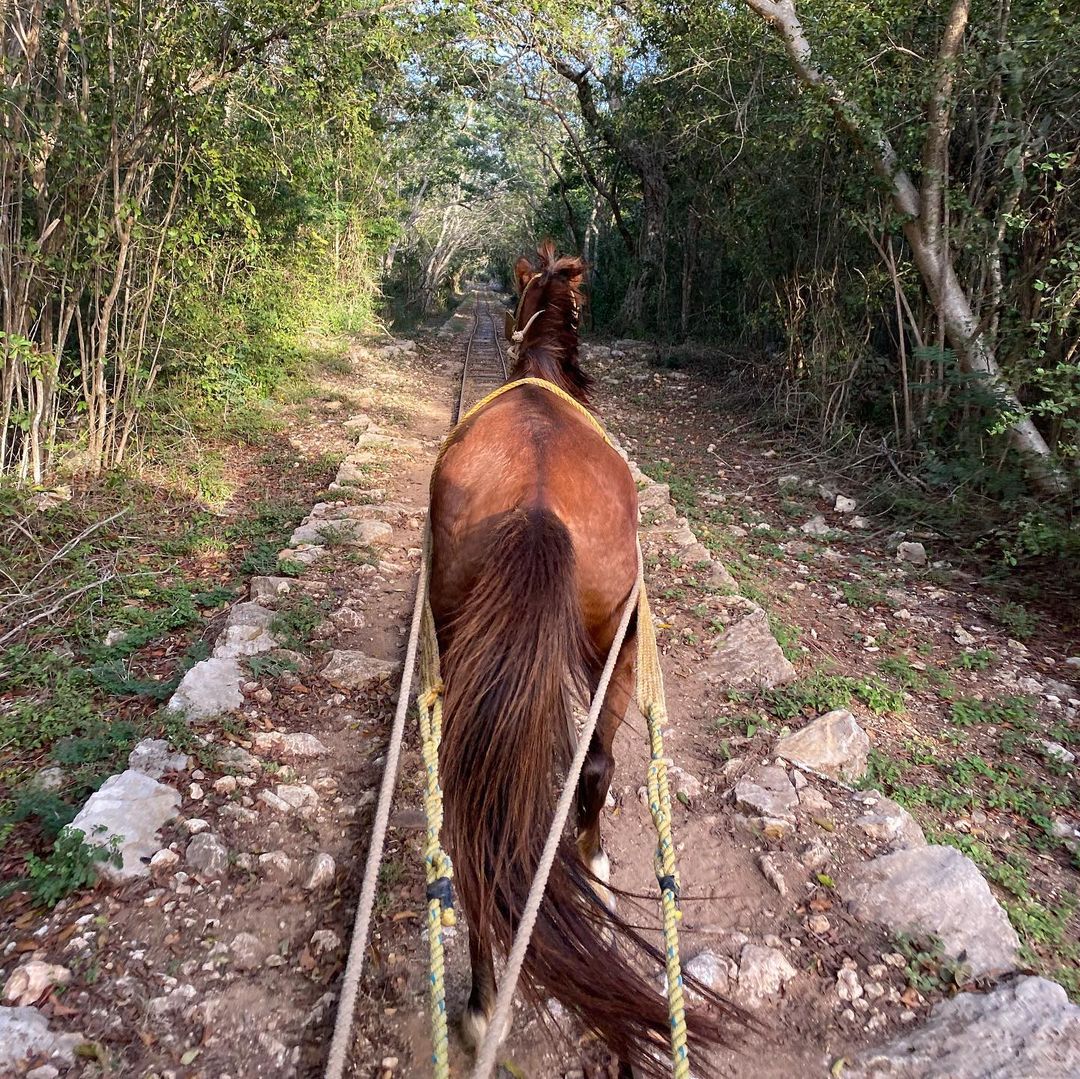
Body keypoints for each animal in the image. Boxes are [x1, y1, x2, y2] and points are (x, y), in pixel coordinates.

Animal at [425, 240, 730, 1075]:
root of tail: (534, 502)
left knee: (480, 802)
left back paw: (481, 1001)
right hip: (612, 639)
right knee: (593, 764)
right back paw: (589, 873)